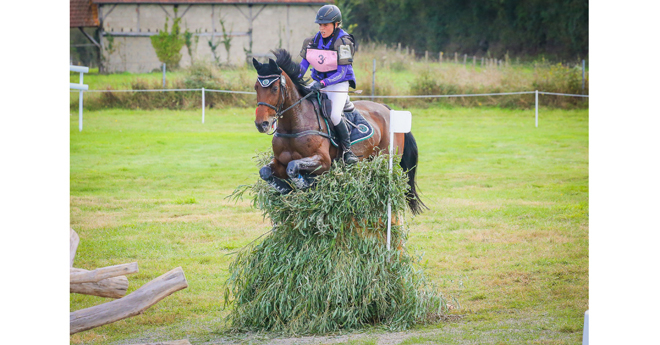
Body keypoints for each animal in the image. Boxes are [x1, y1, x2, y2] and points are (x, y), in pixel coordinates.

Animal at [253, 49, 428, 214]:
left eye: (275, 88)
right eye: (256, 87)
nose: (262, 124)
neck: (294, 124)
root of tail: (386, 108)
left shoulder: (323, 162)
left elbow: (293, 166)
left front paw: (302, 182)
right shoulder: (280, 161)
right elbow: (265, 171)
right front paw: (283, 187)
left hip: (385, 158)